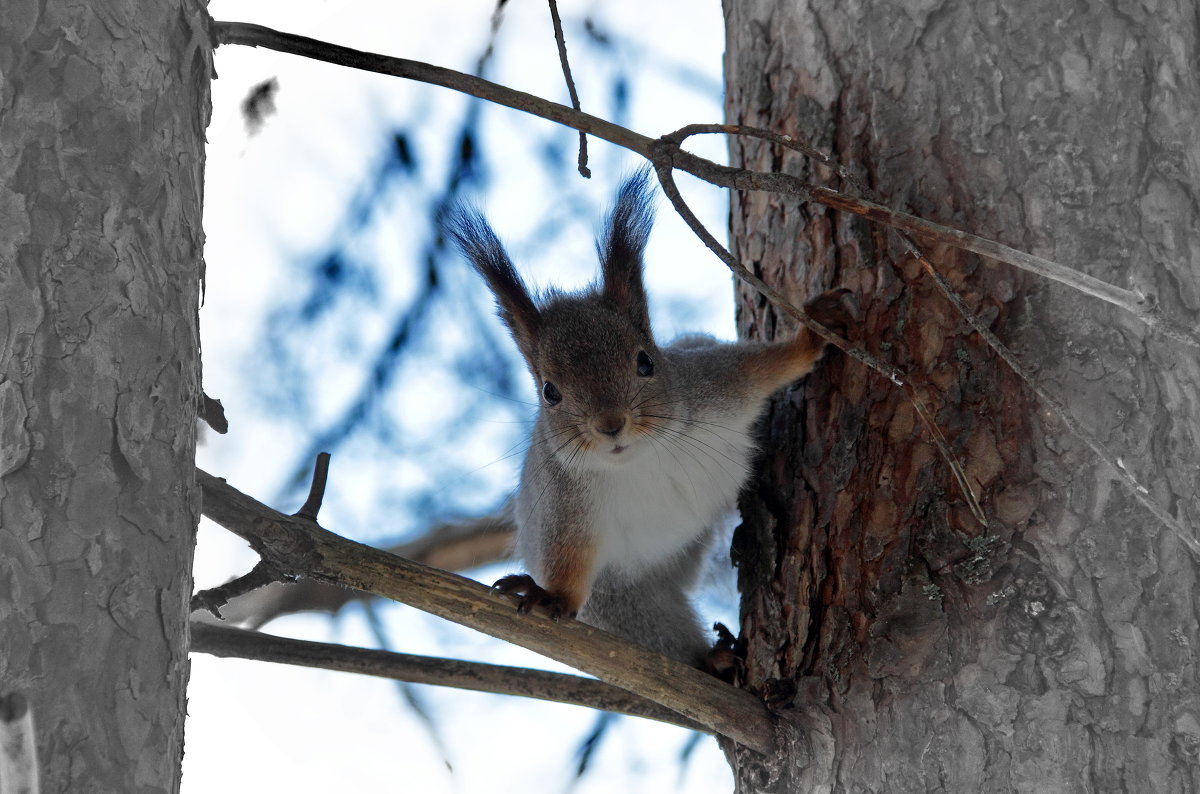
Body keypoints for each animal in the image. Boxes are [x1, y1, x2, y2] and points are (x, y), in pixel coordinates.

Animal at [446, 171, 849, 666]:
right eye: (549, 392)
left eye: (646, 363)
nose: (610, 424)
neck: (641, 458)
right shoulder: (565, 502)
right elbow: (568, 561)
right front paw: (548, 596)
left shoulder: (716, 389)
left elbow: (765, 367)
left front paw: (811, 338)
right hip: (626, 604)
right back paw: (714, 661)